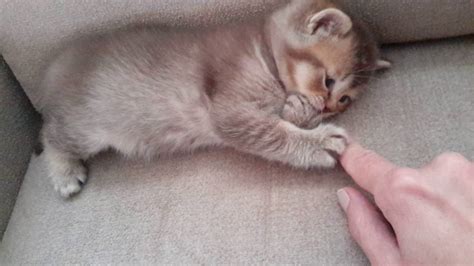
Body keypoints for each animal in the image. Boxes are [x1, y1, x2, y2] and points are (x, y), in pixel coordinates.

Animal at [39, 0, 388, 196]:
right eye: (328, 81)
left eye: (345, 99)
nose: (329, 106)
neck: (263, 49)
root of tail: (58, 66)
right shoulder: (228, 109)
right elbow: (270, 133)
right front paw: (317, 141)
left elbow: (282, 116)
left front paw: (301, 111)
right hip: (85, 127)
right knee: (49, 135)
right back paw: (64, 171)